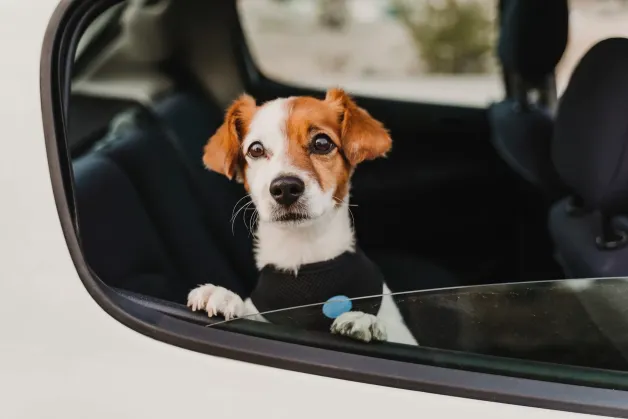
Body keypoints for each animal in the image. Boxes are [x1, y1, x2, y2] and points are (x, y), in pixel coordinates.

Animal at [189, 87, 420, 346]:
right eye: (256, 149)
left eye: (322, 143)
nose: (285, 187)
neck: (303, 250)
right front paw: (224, 296)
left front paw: (364, 318)